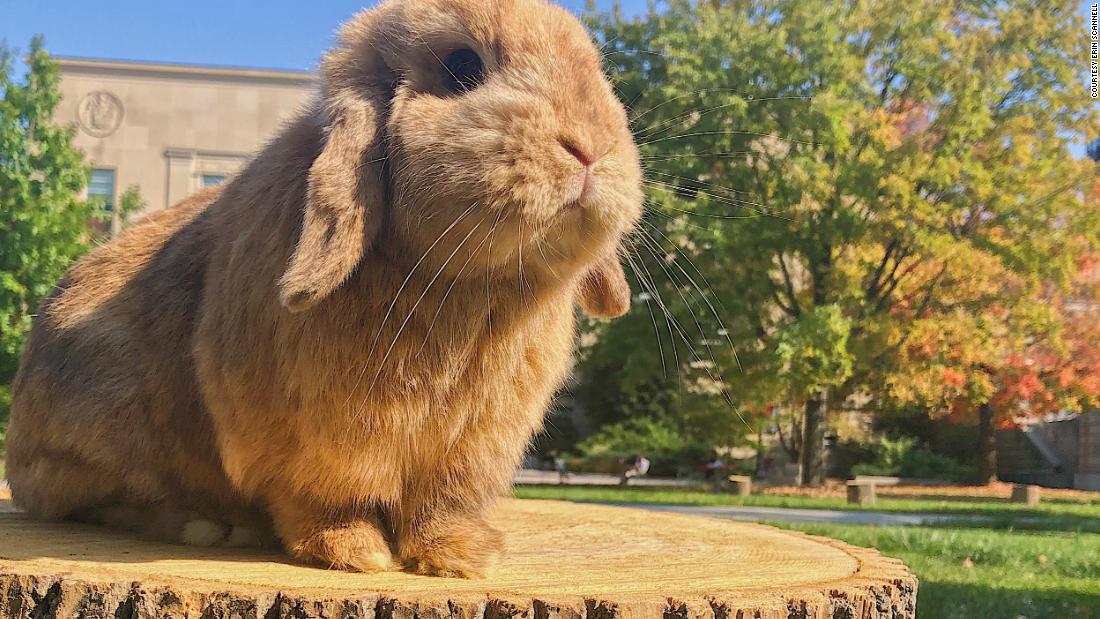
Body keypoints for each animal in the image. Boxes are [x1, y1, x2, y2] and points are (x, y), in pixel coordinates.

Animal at [6, 0, 642, 580]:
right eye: (462, 66)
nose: (591, 150)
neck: (461, 281)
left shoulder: (468, 448)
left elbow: (441, 506)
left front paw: (464, 558)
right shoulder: (311, 440)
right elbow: (323, 500)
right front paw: (355, 553)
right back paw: (210, 525)